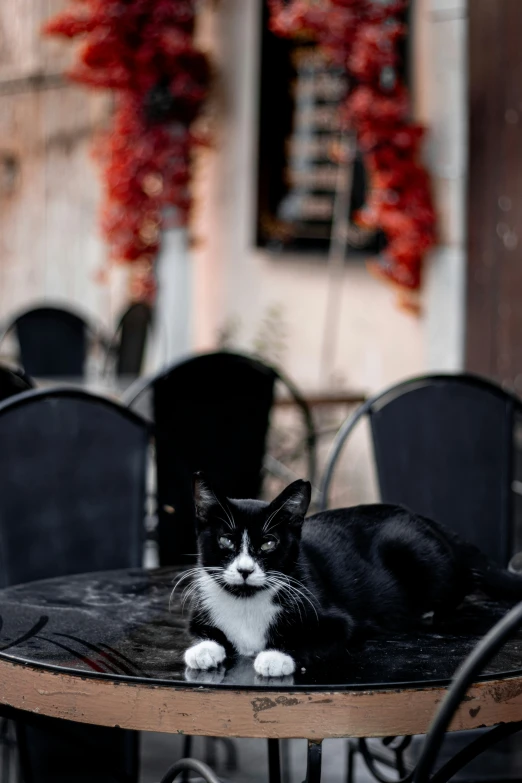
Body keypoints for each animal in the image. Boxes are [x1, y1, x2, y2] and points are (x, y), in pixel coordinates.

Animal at [182, 474, 520, 676]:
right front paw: (203, 650)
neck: (246, 602)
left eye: (268, 543)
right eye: (226, 541)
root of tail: (427, 520)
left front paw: (276, 657)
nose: (244, 570)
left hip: (410, 547)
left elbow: (322, 636)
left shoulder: (336, 618)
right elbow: (203, 631)